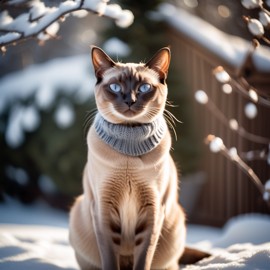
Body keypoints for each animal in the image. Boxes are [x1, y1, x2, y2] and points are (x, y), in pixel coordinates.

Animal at [69, 47, 209, 270]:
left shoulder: (153, 209)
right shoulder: (103, 208)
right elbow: (110, 259)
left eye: (144, 88)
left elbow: (144, 257)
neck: (129, 141)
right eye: (115, 87)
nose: (130, 101)